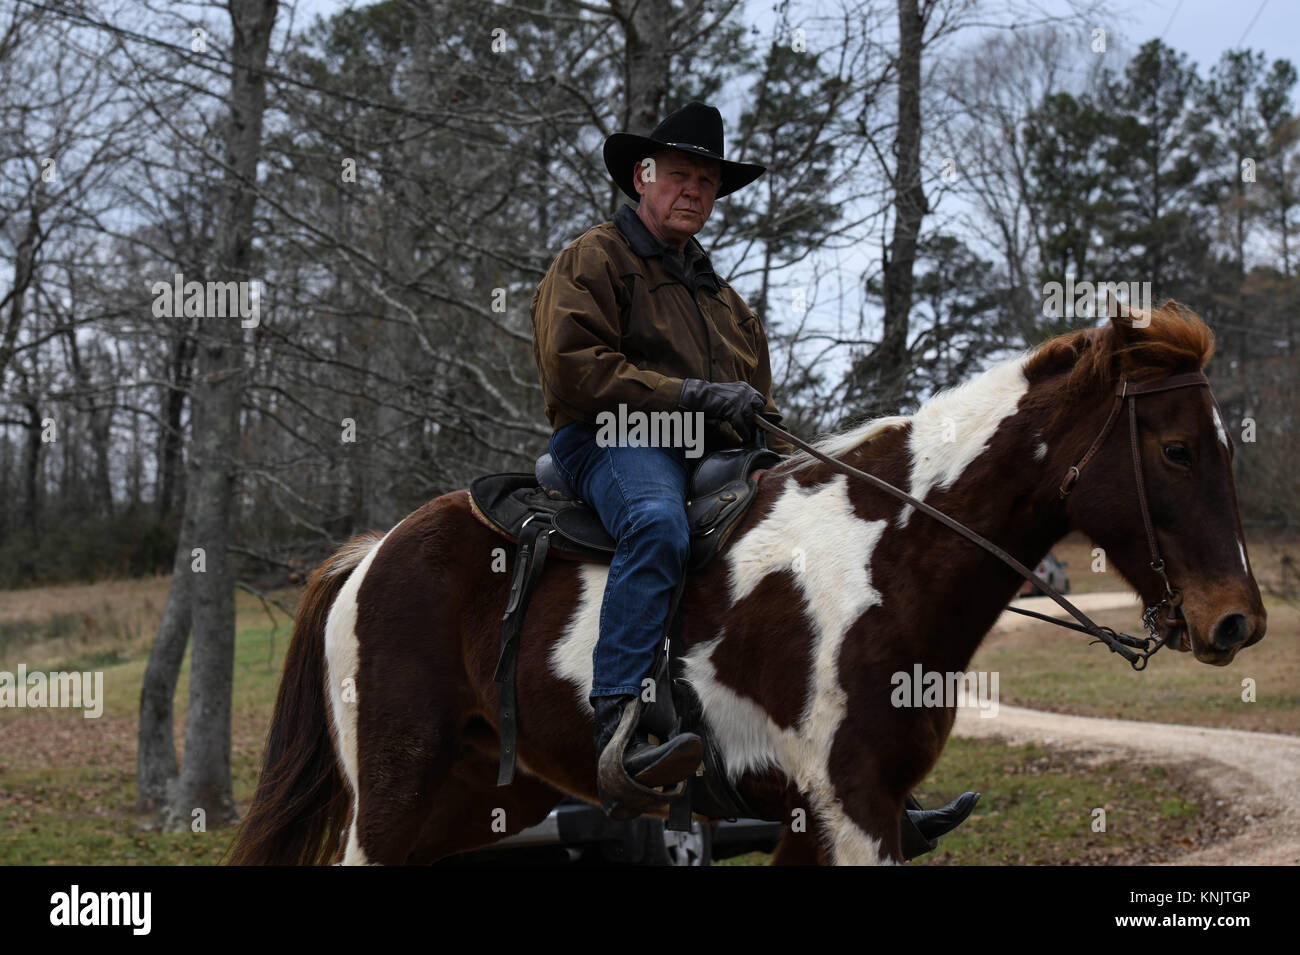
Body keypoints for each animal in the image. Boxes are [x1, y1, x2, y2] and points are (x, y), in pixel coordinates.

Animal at [228, 302, 1263, 867]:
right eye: (1176, 449)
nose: (1237, 622)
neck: (888, 554)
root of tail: (369, 555)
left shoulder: (819, 814)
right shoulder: (854, 805)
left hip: (479, 800)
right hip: (392, 799)